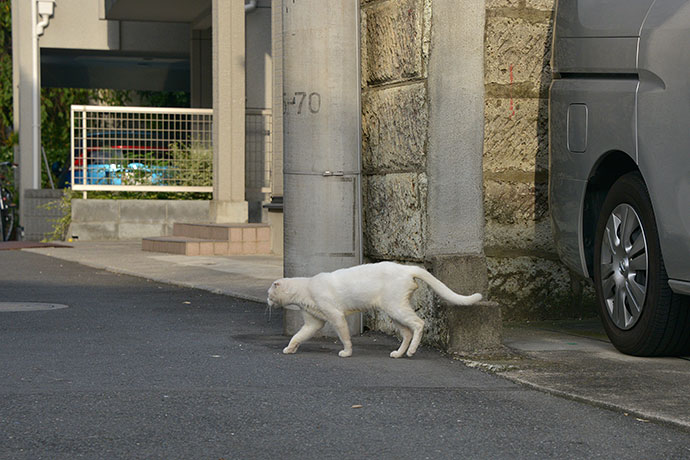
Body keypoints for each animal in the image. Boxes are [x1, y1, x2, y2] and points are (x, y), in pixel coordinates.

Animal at [266, 262, 482, 360]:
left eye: (269, 294)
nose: (267, 301)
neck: (306, 289)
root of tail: (406, 267)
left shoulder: (336, 316)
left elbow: (344, 336)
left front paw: (346, 352)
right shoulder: (313, 322)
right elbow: (298, 336)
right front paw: (290, 348)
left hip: (396, 308)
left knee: (419, 324)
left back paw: (411, 351)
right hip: (393, 312)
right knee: (407, 332)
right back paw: (398, 353)